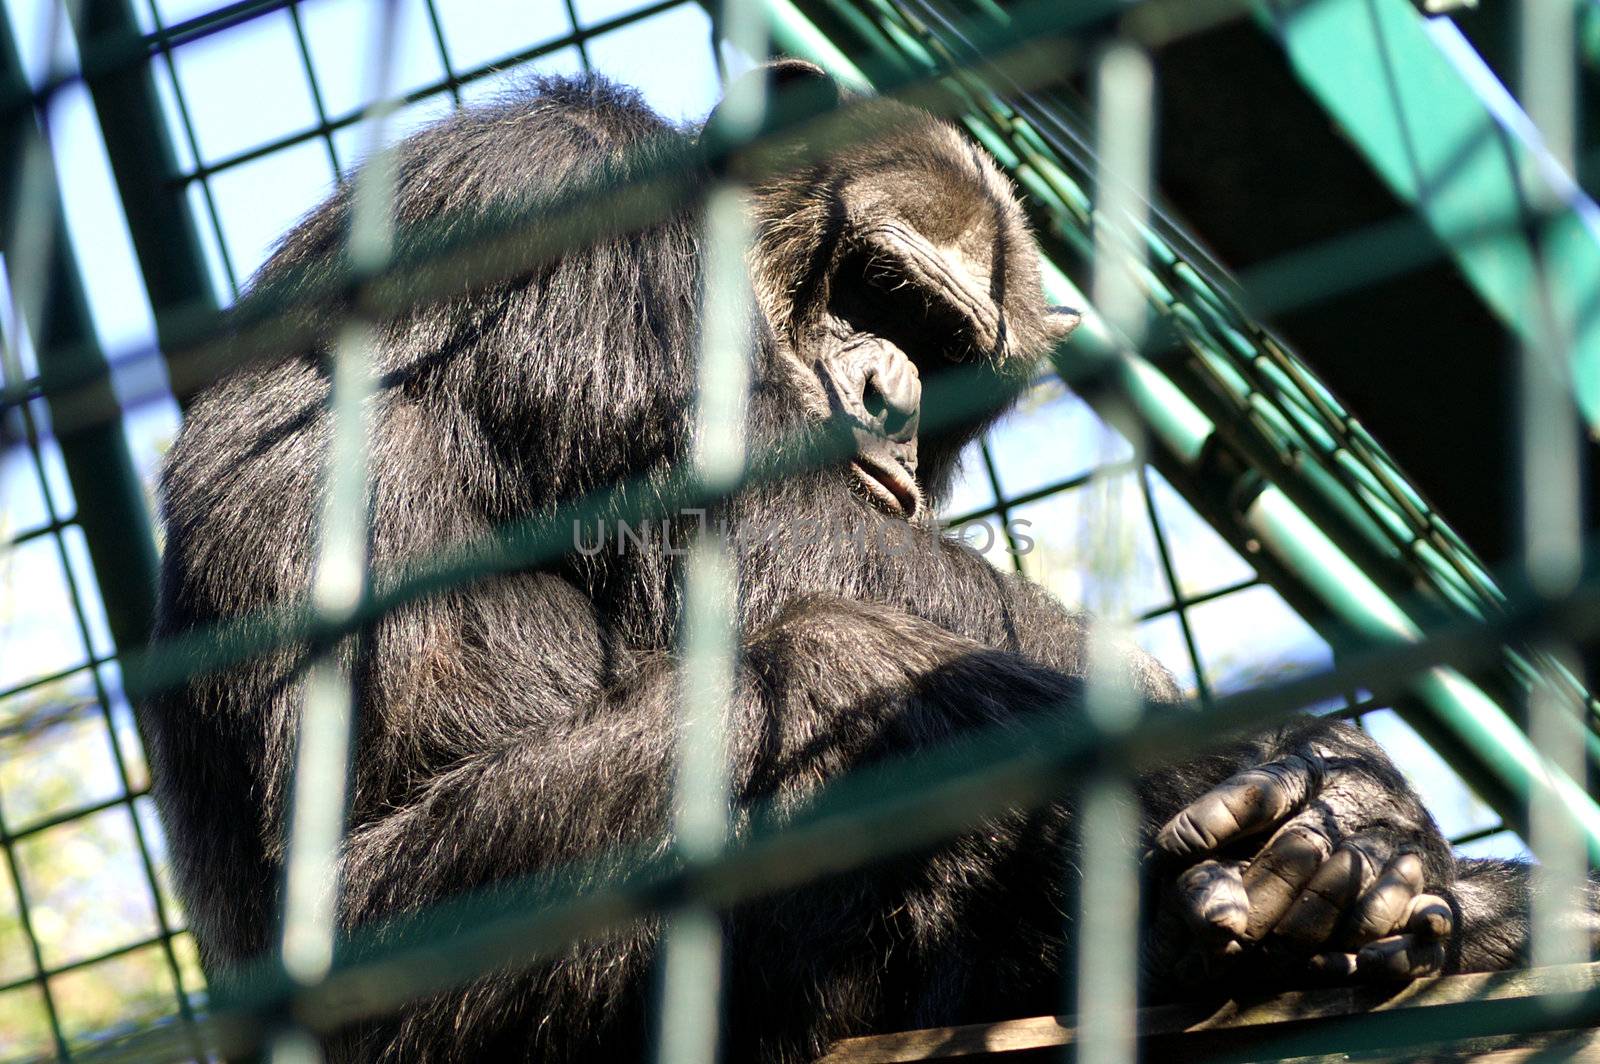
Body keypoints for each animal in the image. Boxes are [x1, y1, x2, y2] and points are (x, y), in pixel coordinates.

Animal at [147, 62, 1548, 1056]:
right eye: (882, 291)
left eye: (955, 353)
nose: (897, 398)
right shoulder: (576, 214)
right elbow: (783, 545)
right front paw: (1342, 785)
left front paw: (1355, 810)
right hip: (441, 971)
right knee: (840, 674)